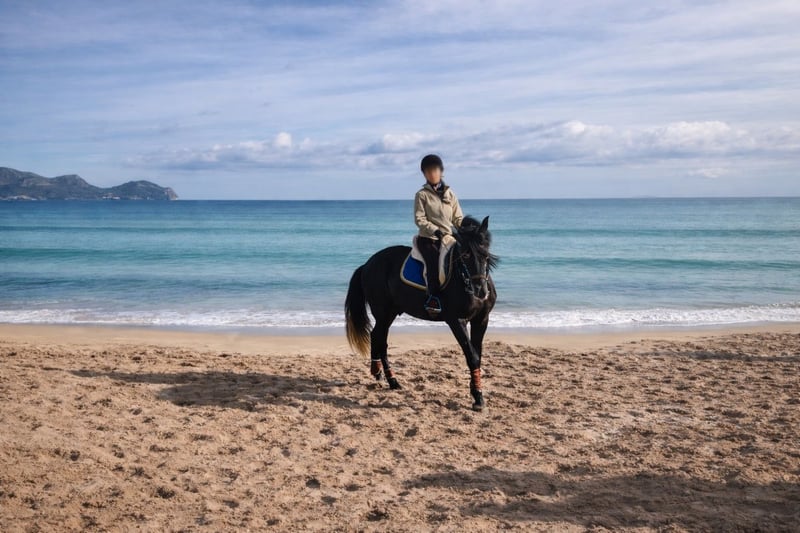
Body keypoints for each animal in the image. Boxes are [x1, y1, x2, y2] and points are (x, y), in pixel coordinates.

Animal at [345, 215, 498, 411]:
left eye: (486, 254)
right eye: (465, 255)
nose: (480, 291)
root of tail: (367, 264)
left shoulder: (481, 320)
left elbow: (477, 354)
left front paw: (475, 389)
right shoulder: (457, 321)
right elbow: (472, 356)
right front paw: (478, 397)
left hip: (390, 312)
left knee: (377, 336)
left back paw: (379, 374)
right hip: (383, 311)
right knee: (380, 339)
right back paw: (391, 380)